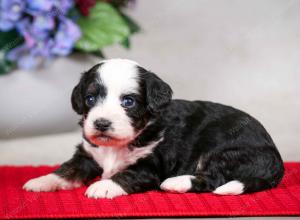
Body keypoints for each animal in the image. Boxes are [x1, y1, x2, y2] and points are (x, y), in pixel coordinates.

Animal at [22, 58, 284, 198]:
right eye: (90, 98)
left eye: (128, 102)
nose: (101, 123)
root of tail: (277, 162)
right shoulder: (88, 154)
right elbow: (68, 168)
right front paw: (41, 181)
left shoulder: (150, 166)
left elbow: (126, 174)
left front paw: (104, 186)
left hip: (227, 152)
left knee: (214, 178)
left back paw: (176, 183)